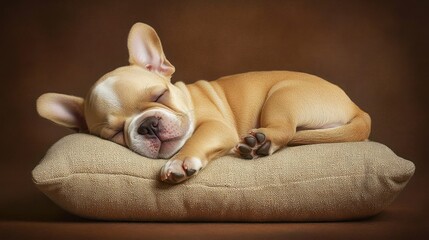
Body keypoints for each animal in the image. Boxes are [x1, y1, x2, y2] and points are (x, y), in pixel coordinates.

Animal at [37, 22, 372, 184]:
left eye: (159, 96)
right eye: (115, 134)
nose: (148, 125)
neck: (186, 97)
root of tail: (359, 110)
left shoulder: (215, 126)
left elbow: (196, 140)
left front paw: (181, 161)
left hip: (282, 94)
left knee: (285, 130)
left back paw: (259, 141)